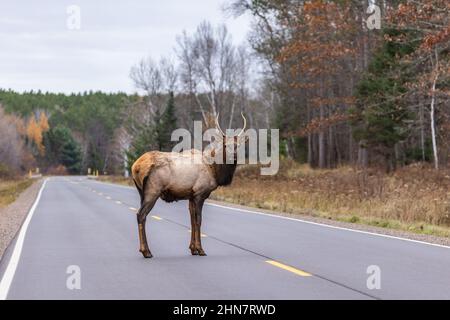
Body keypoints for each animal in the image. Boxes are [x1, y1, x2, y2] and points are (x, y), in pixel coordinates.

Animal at [132, 112, 248, 258]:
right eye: (225, 145)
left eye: (238, 145)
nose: (233, 156)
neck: (214, 170)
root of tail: (135, 167)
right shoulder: (199, 193)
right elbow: (198, 220)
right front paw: (201, 249)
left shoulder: (191, 196)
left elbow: (192, 221)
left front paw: (193, 249)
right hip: (152, 191)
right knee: (141, 215)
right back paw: (146, 251)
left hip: (141, 192)